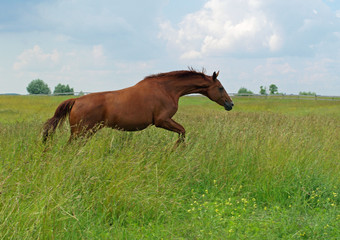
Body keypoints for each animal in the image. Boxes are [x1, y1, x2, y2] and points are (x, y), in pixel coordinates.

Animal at [42, 70, 234, 144]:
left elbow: (182, 132)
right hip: (81, 132)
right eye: (220, 87)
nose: (230, 104)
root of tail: (76, 100)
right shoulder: (162, 120)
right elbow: (182, 131)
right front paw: (175, 150)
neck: (167, 89)